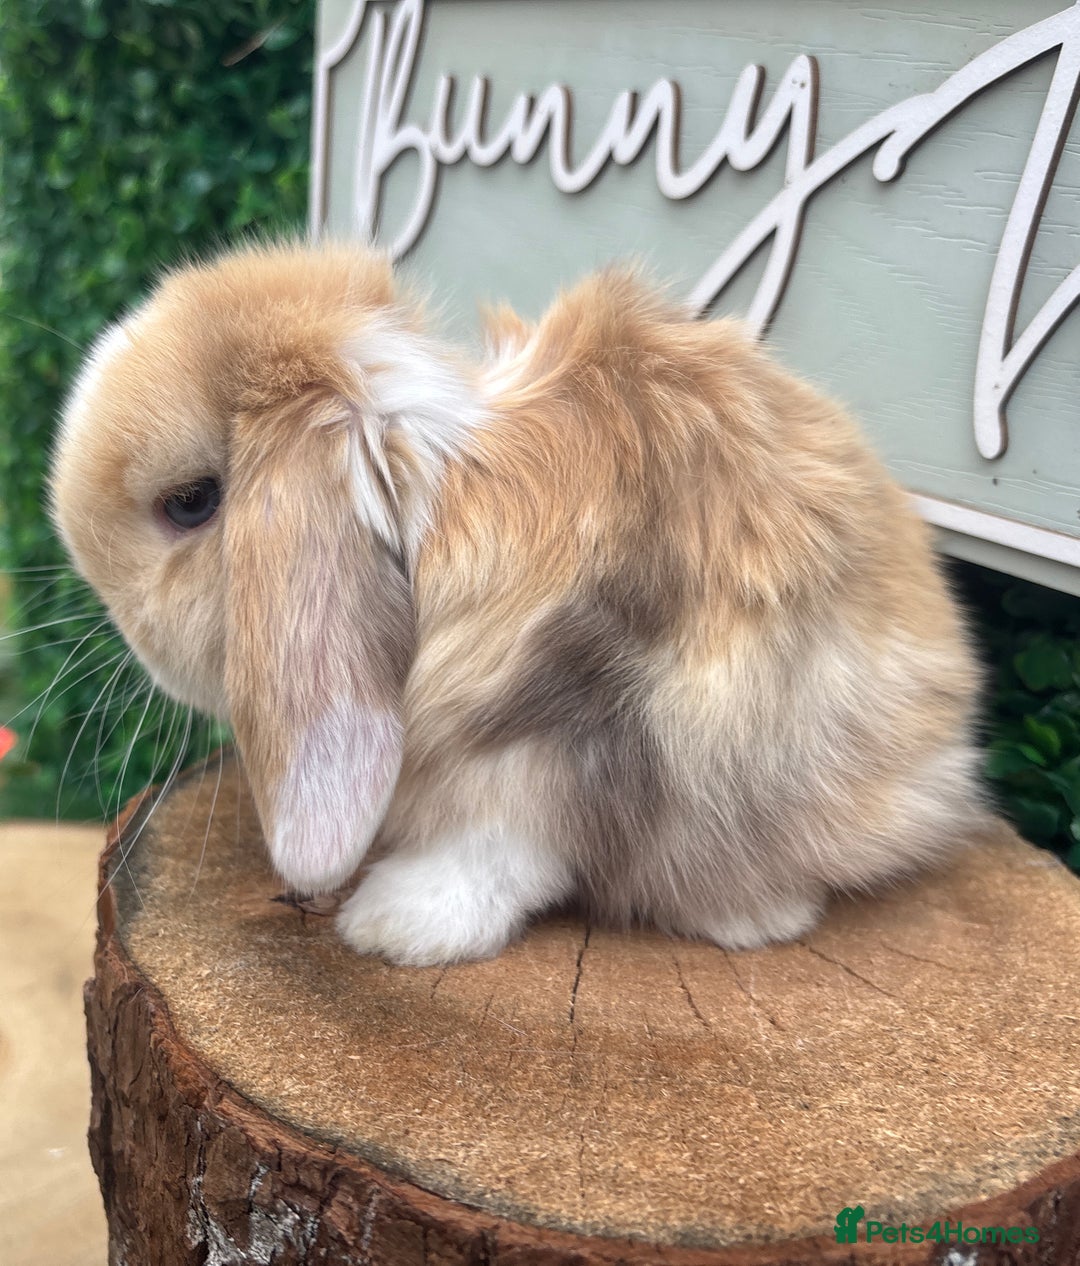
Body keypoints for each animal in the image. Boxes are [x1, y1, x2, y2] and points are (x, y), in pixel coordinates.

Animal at [49, 241, 986, 966]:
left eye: (192, 502)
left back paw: (751, 917)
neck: (433, 493)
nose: (121, 626)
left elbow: (498, 849)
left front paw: (394, 924)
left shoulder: (560, 738)